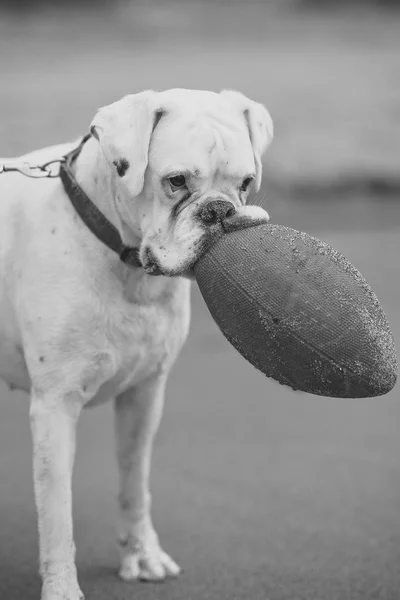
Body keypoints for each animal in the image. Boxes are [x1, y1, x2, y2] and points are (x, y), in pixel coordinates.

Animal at [0, 86, 272, 596]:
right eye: (176, 181)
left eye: (245, 182)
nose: (219, 210)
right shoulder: (54, 408)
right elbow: (57, 514)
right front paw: (62, 587)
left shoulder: (144, 397)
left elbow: (134, 483)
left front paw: (142, 555)